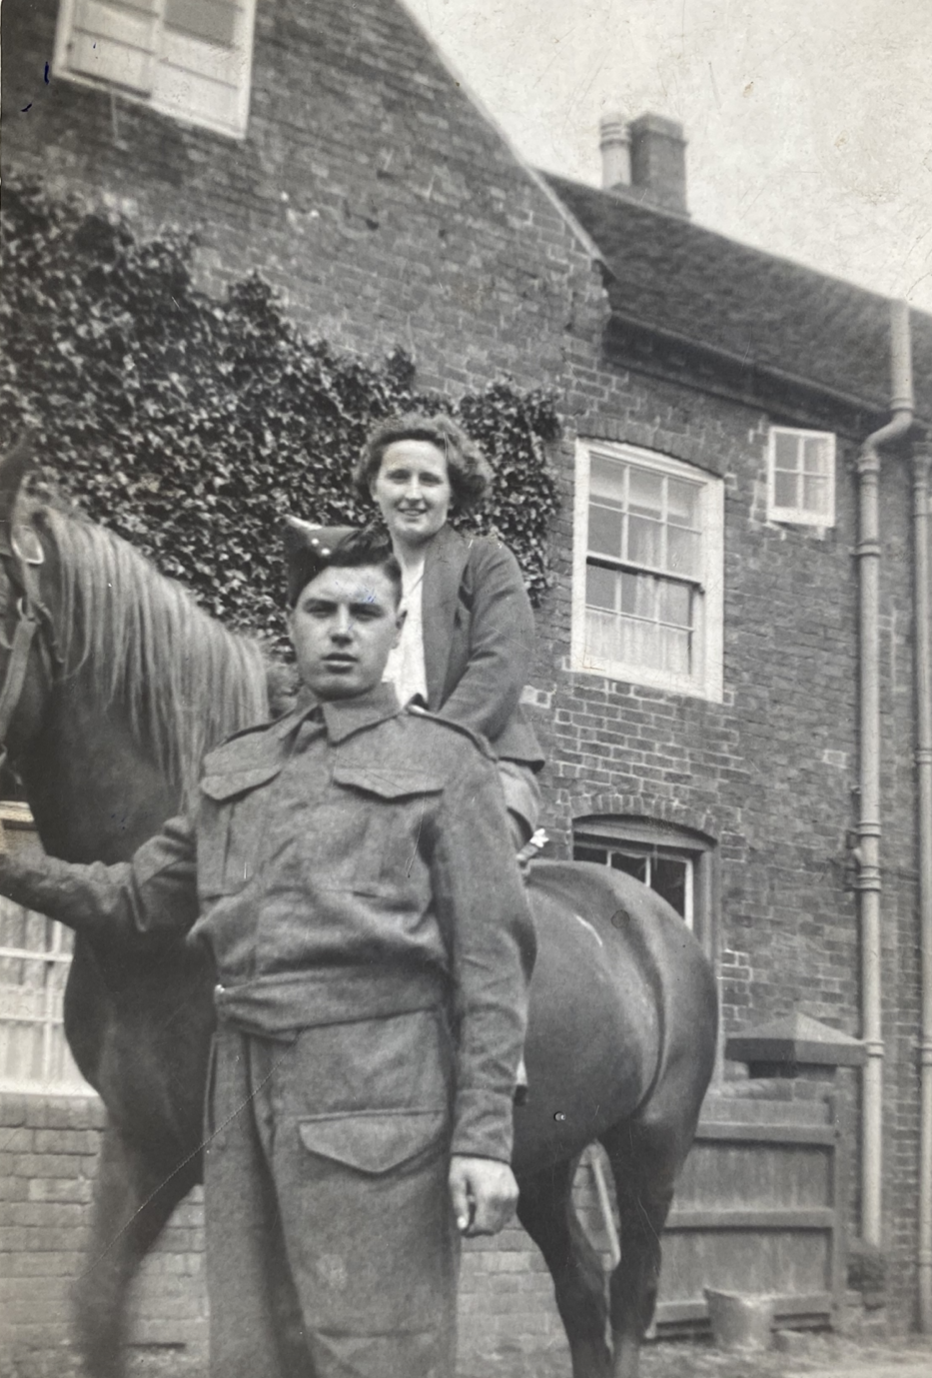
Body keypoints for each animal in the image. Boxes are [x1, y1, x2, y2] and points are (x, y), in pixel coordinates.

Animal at [0, 443, 716, 1378]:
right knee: (583, 1293)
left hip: (652, 1146)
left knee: (631, 1296)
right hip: (547, 1159)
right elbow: (97, 1310)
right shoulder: (140, 1138)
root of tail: (654, 922)